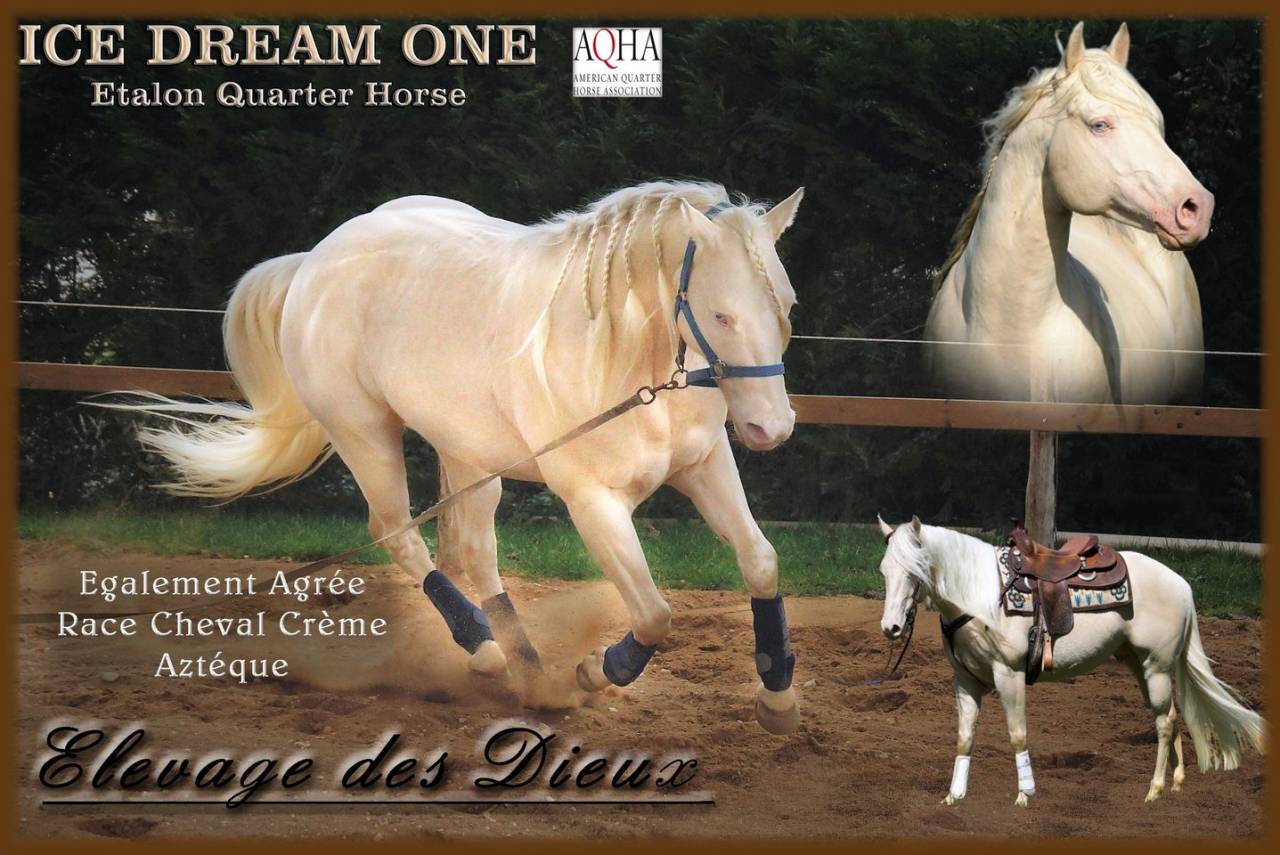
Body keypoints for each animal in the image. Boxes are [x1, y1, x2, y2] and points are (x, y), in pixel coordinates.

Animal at [109, 181, 808, 734]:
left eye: (786, 306)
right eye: (722, 314)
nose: (771, 428)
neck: (623, 360)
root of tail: (316, 260)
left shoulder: (704, 466)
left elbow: (762, 561)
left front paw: (777, 699)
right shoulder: (591, 499)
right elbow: (655, 615)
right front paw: (591, 672)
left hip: (467, 451)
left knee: (473, 548)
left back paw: (524, 668)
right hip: (364, 434)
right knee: (397, 531)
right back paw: (487, 653)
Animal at [875, 516, 1264, 806]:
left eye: (915, 570)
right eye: (884, 570)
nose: (891, 627)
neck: (981, 595)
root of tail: (1182, 584)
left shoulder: (1009, 675)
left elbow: (1017, 734)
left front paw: (1025, 795)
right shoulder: (966, 679)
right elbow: (964, 737)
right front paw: (954, 797)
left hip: (1156, 667)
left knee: (1165, 722)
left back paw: (1154, 790)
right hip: (1140, 666)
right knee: (1169, 714)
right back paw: (1176, 783)